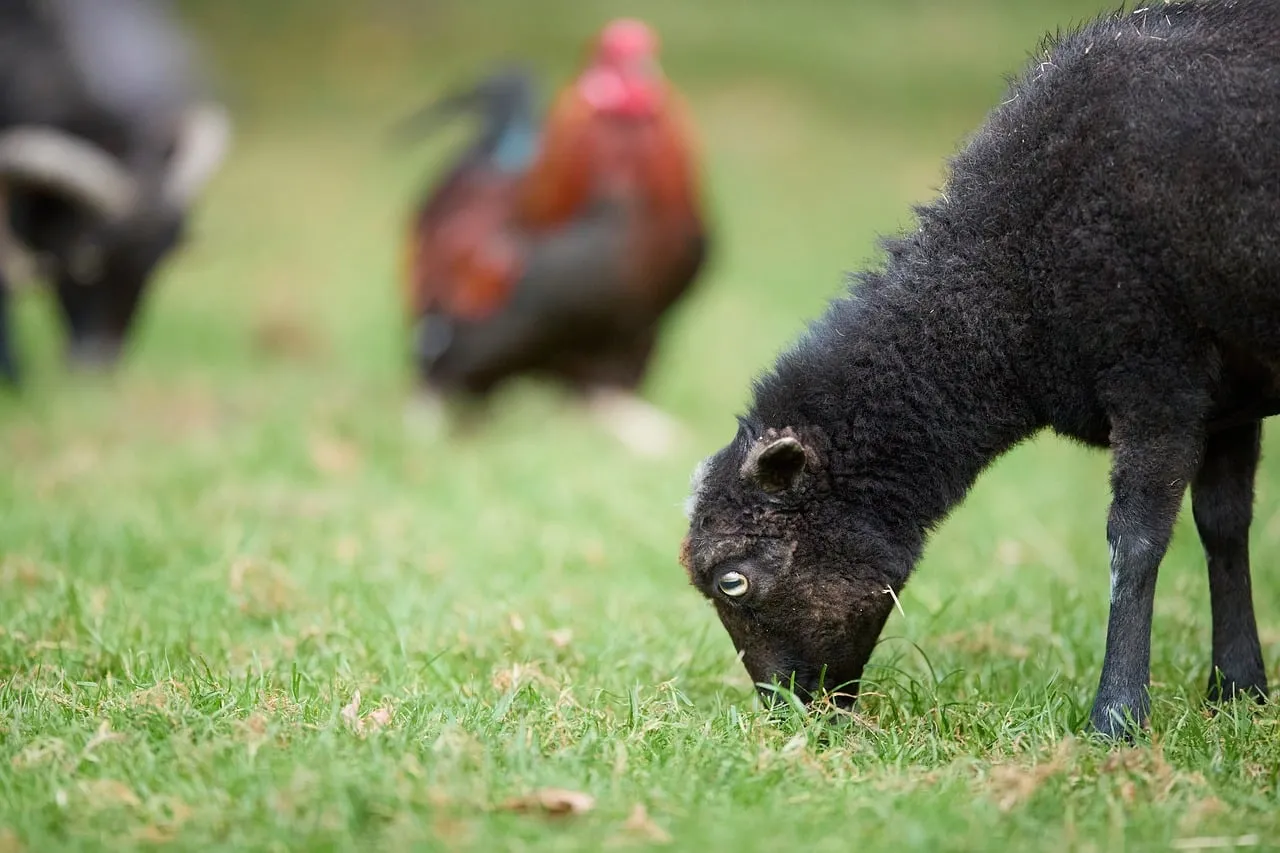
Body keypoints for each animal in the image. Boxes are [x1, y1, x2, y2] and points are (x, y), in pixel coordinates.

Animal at [680, 0, 1280, 739]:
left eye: (732, 579)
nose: (791, 711)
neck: (1007, 280)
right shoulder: (1229, 391)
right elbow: (1224, 526)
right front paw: (1239, 690)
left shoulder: (1155, 369)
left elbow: (1134, 542)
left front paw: (1116, 717)